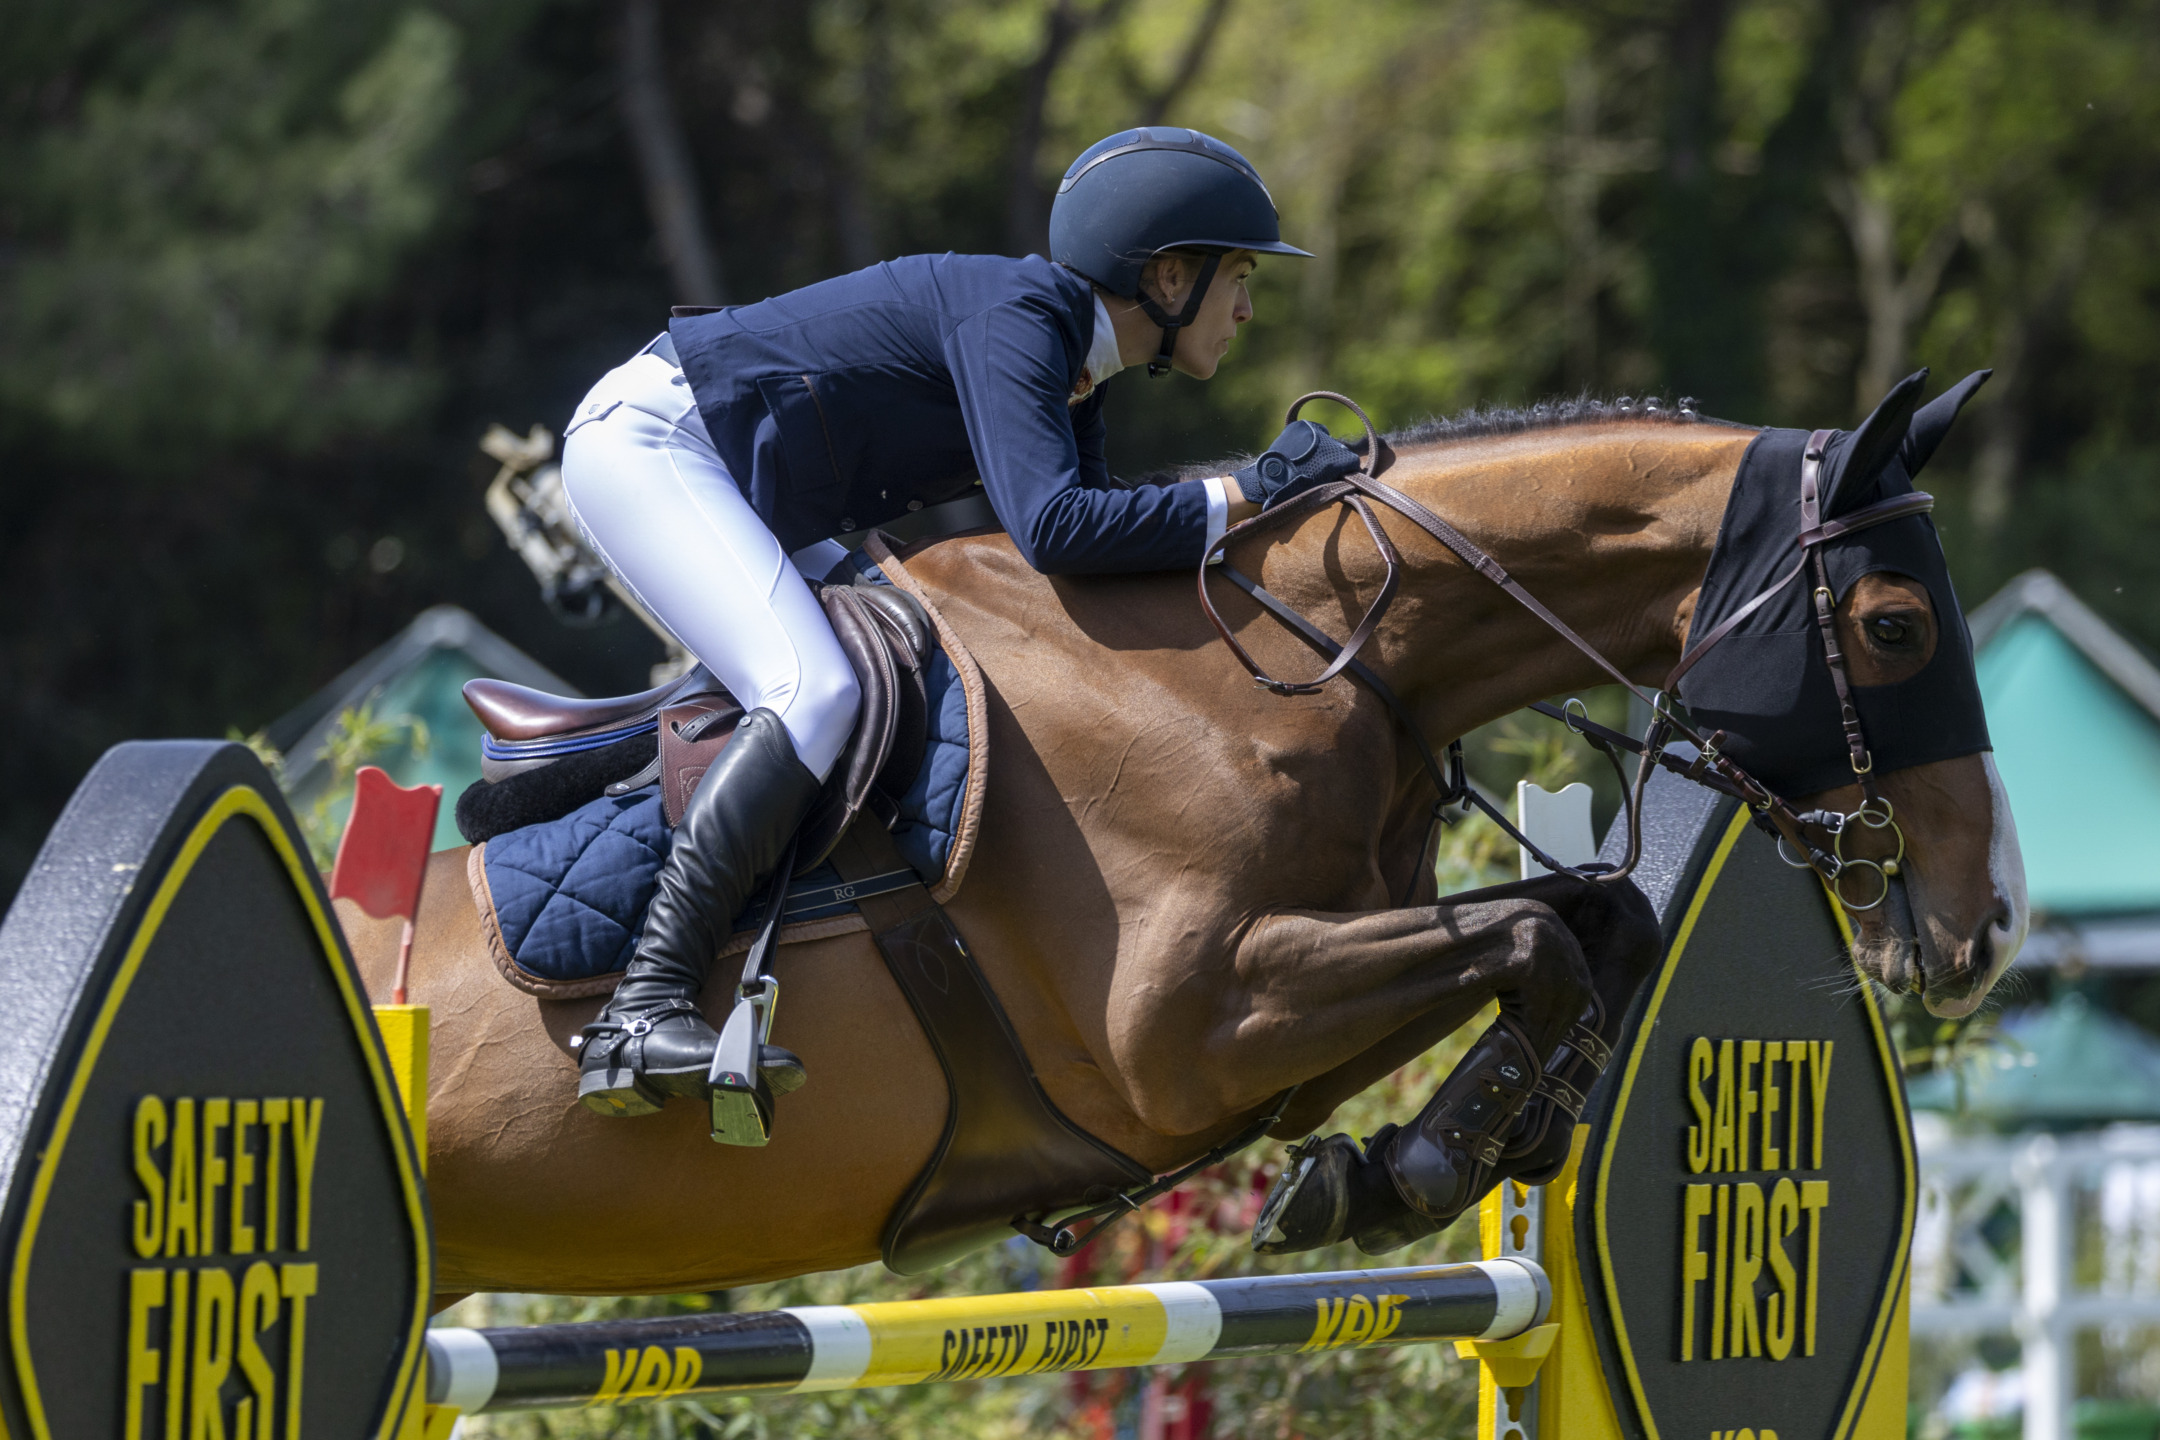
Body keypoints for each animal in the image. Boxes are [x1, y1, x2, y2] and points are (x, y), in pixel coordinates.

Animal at [336, 397, 2021, 1303]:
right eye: (1894, 626)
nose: (1989, 922)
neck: (1295, 660)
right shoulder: (1188, 1030)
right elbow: (1540, 936)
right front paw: (1414, 1164)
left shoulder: (1284, 1006)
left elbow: (1600, 924)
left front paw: (1425, 1156)